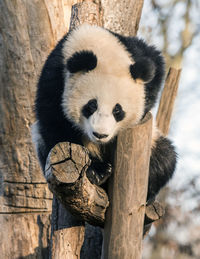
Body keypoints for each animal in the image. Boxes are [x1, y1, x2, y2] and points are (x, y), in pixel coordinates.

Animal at [32, 24, 177, 202]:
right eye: (91, 105)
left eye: (117, 110)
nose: (100, 135)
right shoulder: (54, 79)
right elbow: (56, 125)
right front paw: (96, 170)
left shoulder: (136, 51)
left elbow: (155, 67)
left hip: (153, 142)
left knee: (165, 158)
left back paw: (149, 191)